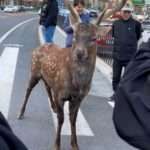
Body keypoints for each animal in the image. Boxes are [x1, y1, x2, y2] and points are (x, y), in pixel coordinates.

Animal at [17, 0, 126, 149]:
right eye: (75, 36)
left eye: (94, 38)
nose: (79, 53)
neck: (77, 85)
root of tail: (39, 47)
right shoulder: (60, 93)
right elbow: (61, 119)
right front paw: (56, 145)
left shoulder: (79, 98)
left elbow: (73, 120)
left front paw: (75, 144)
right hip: (34, 70)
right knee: (28, 89)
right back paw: (21, 113)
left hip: (48, 78)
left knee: (47, 86)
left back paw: (52, 107)